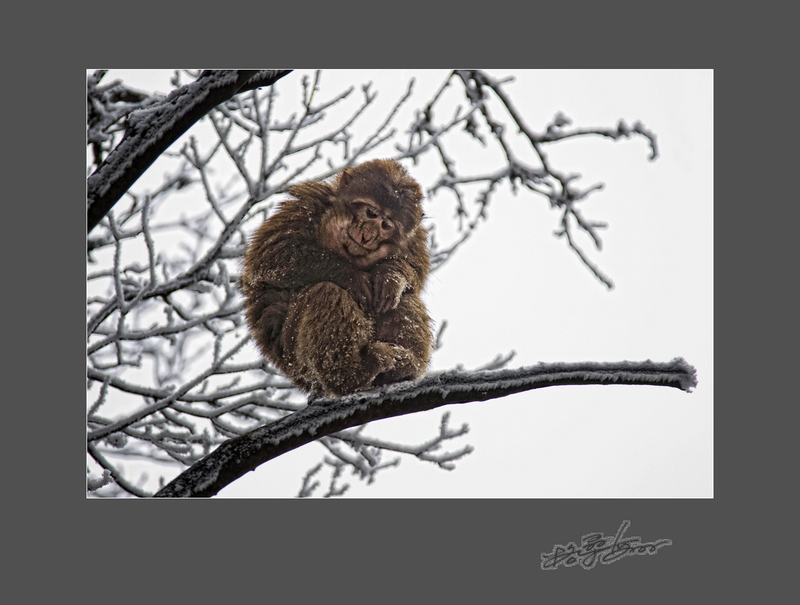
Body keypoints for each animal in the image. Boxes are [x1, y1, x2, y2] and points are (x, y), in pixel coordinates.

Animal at [239, 158, 432, 398]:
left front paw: (390, 277)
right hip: (298, 359)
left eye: (386, 225)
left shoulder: (415, 238)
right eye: (371, 213)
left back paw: (405, 365)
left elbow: (414, 270)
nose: (368, 234)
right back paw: (351, 375)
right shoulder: (306, 205)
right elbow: (272, 256)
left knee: (402, 298)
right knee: (326, 293)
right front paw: (352, 277)